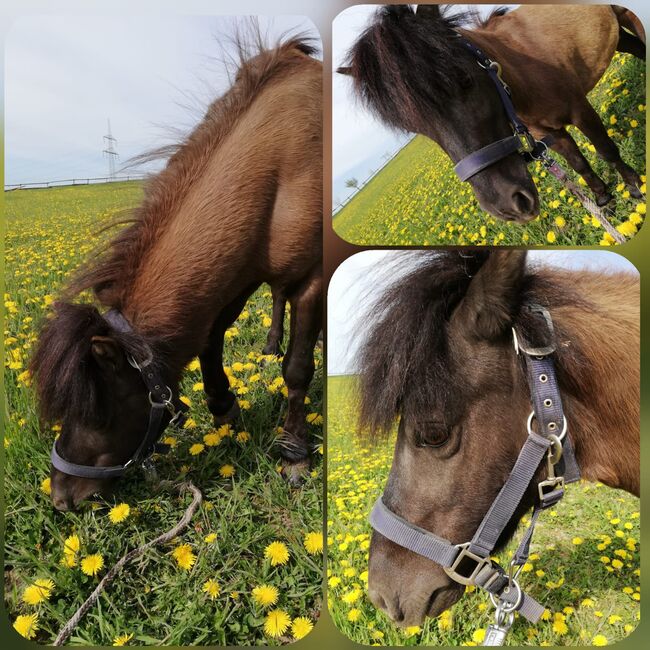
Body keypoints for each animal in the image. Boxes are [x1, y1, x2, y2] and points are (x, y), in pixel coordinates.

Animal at [31, 36, 324, 512]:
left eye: (98, 413)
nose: (61, 497)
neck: (282, 161)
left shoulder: (310, 280)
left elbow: (298, 369)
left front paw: (294, 452)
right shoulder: (237, 271)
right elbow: (209, 337)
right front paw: (224, 408)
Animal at [340, 3, 644, 223]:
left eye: (464, 79)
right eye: (415, 127)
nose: (507, 206)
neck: (520, 69)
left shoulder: (579, 109)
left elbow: (605, 150)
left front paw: (635, 188)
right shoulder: (548, 133)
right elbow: (579, 164)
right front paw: (604, 202)